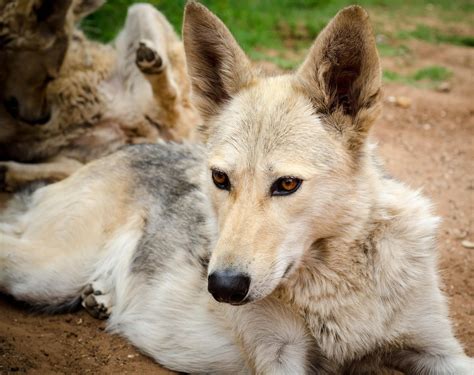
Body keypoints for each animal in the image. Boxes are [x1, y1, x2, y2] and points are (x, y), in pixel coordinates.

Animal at [0, 0, 200, 191]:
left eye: (50, 76)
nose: (41, 118)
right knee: (72, 171)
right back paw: (8, 172)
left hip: (143, 13)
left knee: (170, 104)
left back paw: (151, 64)